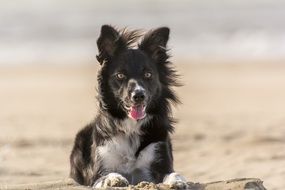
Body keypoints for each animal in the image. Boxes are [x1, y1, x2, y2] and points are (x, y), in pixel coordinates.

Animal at [70, 25, 187, 189]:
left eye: (148, 74)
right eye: (120, 75)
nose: (138, 95)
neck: (131, 128)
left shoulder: (160, 158)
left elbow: (173, 173)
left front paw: (177, 181)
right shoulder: (98, 171)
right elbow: (105, 176)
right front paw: (113, 180)